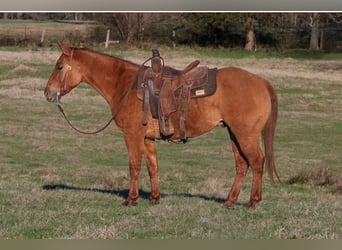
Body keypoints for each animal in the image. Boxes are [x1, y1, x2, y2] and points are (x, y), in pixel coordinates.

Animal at [44, 42, 280, 207]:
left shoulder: (133, 136)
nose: (47, 92)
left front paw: (131, 199)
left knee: (257, 162)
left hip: (245, 135)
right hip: (234, 134)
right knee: (242, 165)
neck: (125, 85)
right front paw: (154, 198)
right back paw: (229, 201)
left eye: (59, 67)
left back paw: (253, 201)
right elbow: (152, 167)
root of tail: (262, 82)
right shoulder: (147, 138)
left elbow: (134, 166)